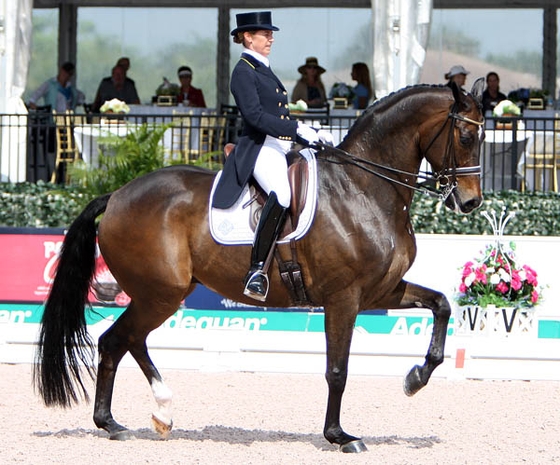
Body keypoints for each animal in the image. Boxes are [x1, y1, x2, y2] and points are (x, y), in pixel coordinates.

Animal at [34, 80, 486, 454]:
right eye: (466, 136)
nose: (470, 202)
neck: (364, 187)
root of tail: (115, 196)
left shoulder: (379, 291)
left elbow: (441, 304)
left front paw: (416, 377)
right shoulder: (344, 297)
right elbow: (337, 369)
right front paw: (339, 436)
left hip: (163, 293)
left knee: (127, 341)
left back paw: (145, 417)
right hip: (160, 292)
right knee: (118, 340)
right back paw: (122, 420)